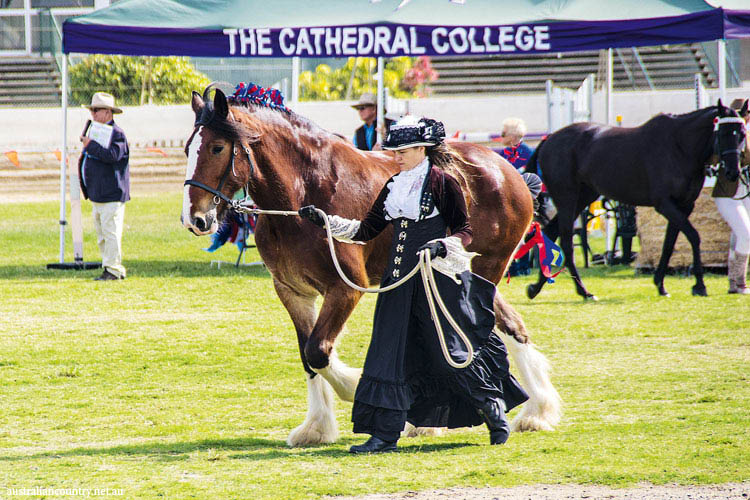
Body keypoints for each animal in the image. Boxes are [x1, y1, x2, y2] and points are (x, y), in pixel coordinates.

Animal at [181, 85, 560, 446]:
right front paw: (315, 428)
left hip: (482, 272)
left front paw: (352, 388)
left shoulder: (345, 289)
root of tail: (509, 172)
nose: (195, 220)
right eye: (187, 149)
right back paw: (532, 413)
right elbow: (307, 355)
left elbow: (319, 350)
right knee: (511, 325)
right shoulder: (293, 291)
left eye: (217, 148)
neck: (304, 193)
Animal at [524, 99, 748, 298]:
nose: (733, 172)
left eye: (742, 134)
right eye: (723, 133)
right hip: (567, 199)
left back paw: (536, 287)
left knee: (551, 232)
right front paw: (699, 286)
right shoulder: (665, 204)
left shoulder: (684, 206)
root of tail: (549, 139)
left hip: (584, 197)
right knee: (565, 241)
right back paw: (584, 291)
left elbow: (669, 244)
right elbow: (694, 236)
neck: (679, 146)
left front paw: (660, 284)